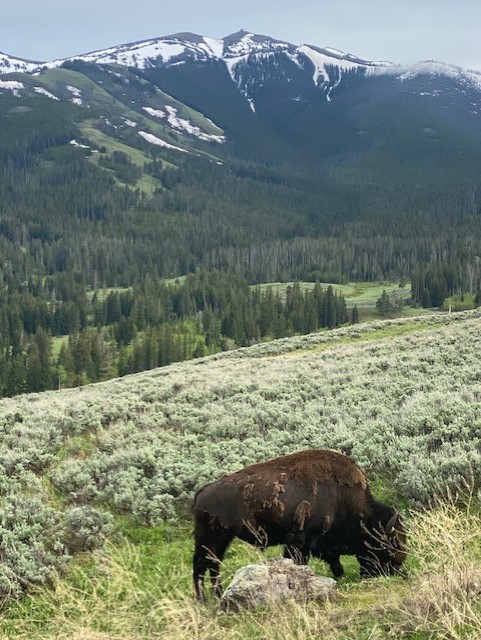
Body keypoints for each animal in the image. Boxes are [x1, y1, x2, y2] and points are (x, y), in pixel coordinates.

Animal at [191, 448, 404, 604]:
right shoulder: (300, 540)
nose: (394, 572)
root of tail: (202, 491)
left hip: (223, 538)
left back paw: (217, 596)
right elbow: (299, 562)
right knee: (201, 564)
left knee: (214, 564)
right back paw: (203, 600)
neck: (344, 499)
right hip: (209, 537)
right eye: (387, 546)